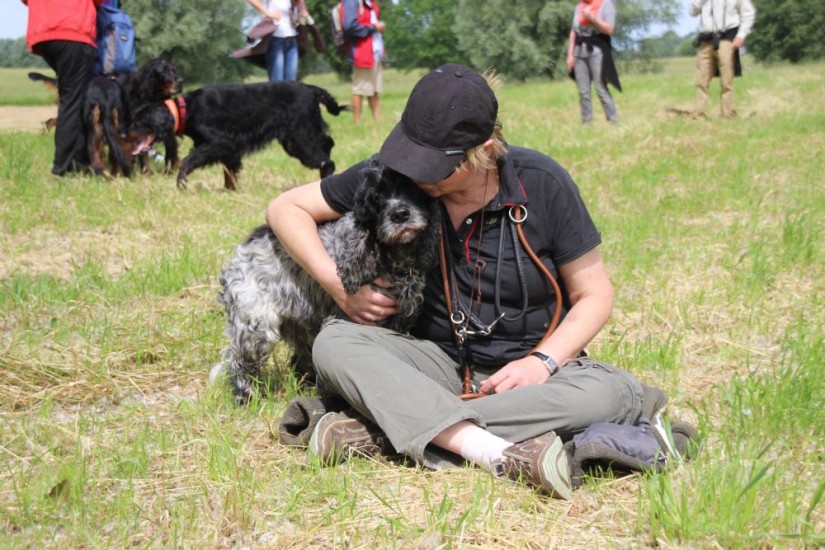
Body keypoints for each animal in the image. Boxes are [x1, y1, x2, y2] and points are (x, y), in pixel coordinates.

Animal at [128, 80, 346, 190]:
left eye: (138, 122)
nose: (123, 133)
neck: (187, 109)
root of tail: (311, 89)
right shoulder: (228, 149)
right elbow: (229, 170)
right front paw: (229, 190)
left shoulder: (221, 142)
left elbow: (190, 159)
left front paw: (181, 181)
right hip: (294, 140)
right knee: (327, 143)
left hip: (300, 136)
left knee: (326, 159)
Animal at [209, 158, 442, 404]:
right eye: (377, 196)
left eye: (413, 189)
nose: (400, 214)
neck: (397, 259)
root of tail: (241, 251)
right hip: (256, 326)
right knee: (237, 361)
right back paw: (245, 396)